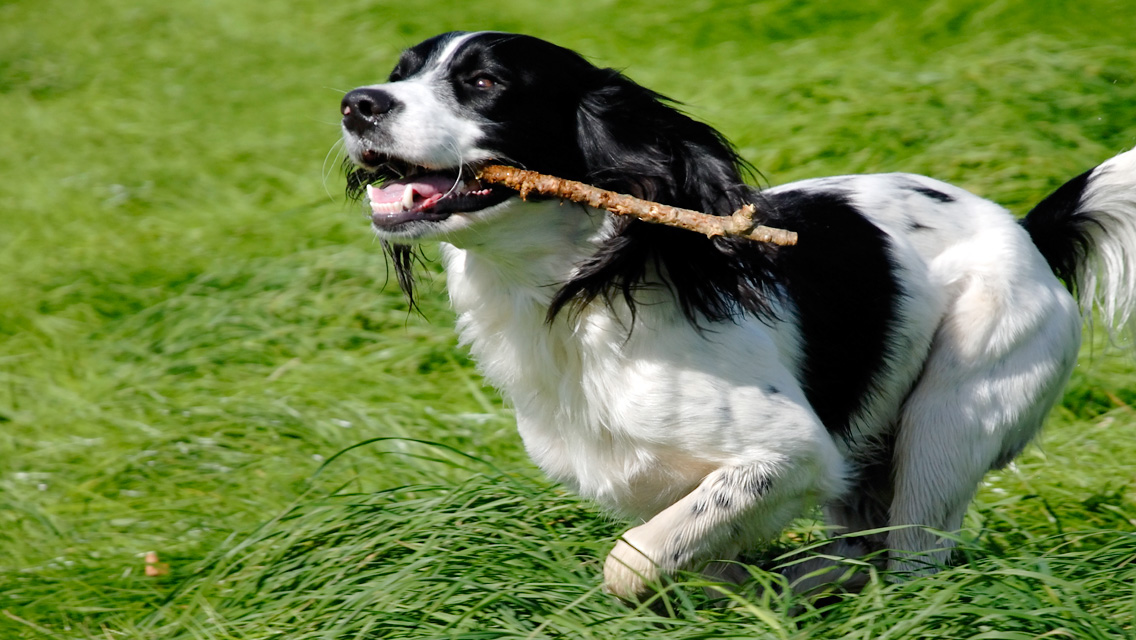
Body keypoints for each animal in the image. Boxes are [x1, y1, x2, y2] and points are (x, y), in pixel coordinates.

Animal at [336, 30, 1136, 600]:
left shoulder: (790, 454)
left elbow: (632, 560)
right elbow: (695, 553)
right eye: (402, 71)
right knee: (862, 551)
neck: (578, 293)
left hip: (949, 422)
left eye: (484, 83)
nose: (357, 103)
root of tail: (1030, 229)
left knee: (914, 556)